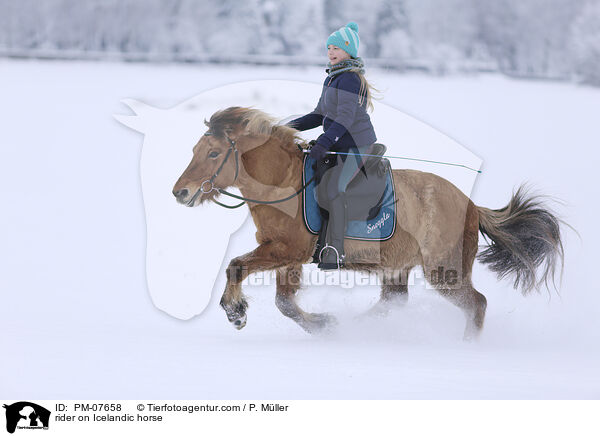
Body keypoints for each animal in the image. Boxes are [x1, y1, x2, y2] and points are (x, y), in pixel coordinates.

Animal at [171, 107, 564, 338]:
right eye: (194, 151)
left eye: (213, 153)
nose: (180, 192)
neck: (284, 182)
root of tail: (471, 205)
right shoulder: (289, 257)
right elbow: (284, 303)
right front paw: (324, 324)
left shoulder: (285, 250)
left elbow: (237, 266)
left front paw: (235, 311)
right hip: (397, 268)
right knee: (396, 301)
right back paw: (358, 326)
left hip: (444, 271)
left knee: (477, 304)